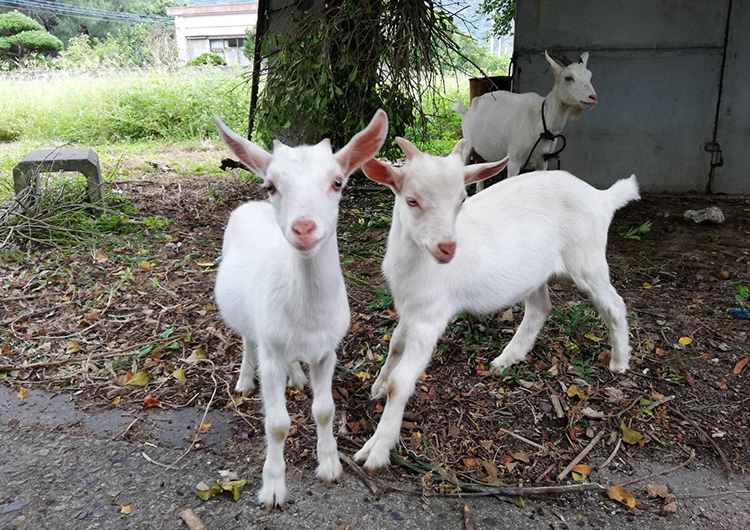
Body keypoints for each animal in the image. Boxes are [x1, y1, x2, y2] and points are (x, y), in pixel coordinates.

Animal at [452, 49, 600, 186]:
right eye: (568, 77)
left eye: (590, 76)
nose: (593, 98)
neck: (541, 122)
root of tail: (468, 110)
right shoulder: (513, 161)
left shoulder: (542, 164)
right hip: (467, 143)